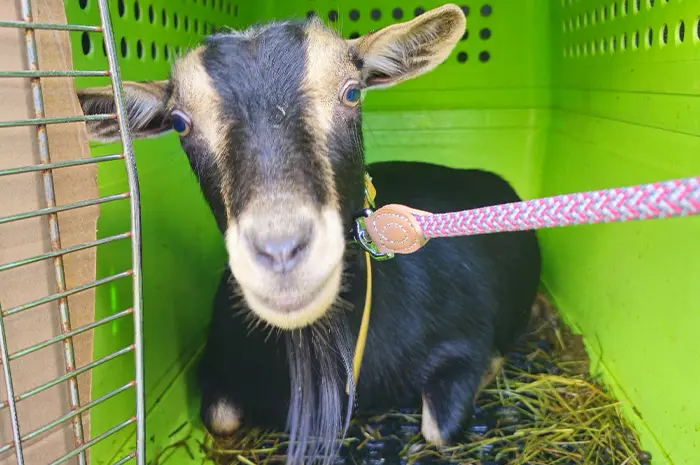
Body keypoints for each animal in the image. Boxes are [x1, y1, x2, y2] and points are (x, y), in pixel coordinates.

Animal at [77, 4, 541, 464]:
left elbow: (439, 428)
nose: (281, 252)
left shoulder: (464, 341)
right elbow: (220, 418)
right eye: (179, 122)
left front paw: (493, 365)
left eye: (352, 93)